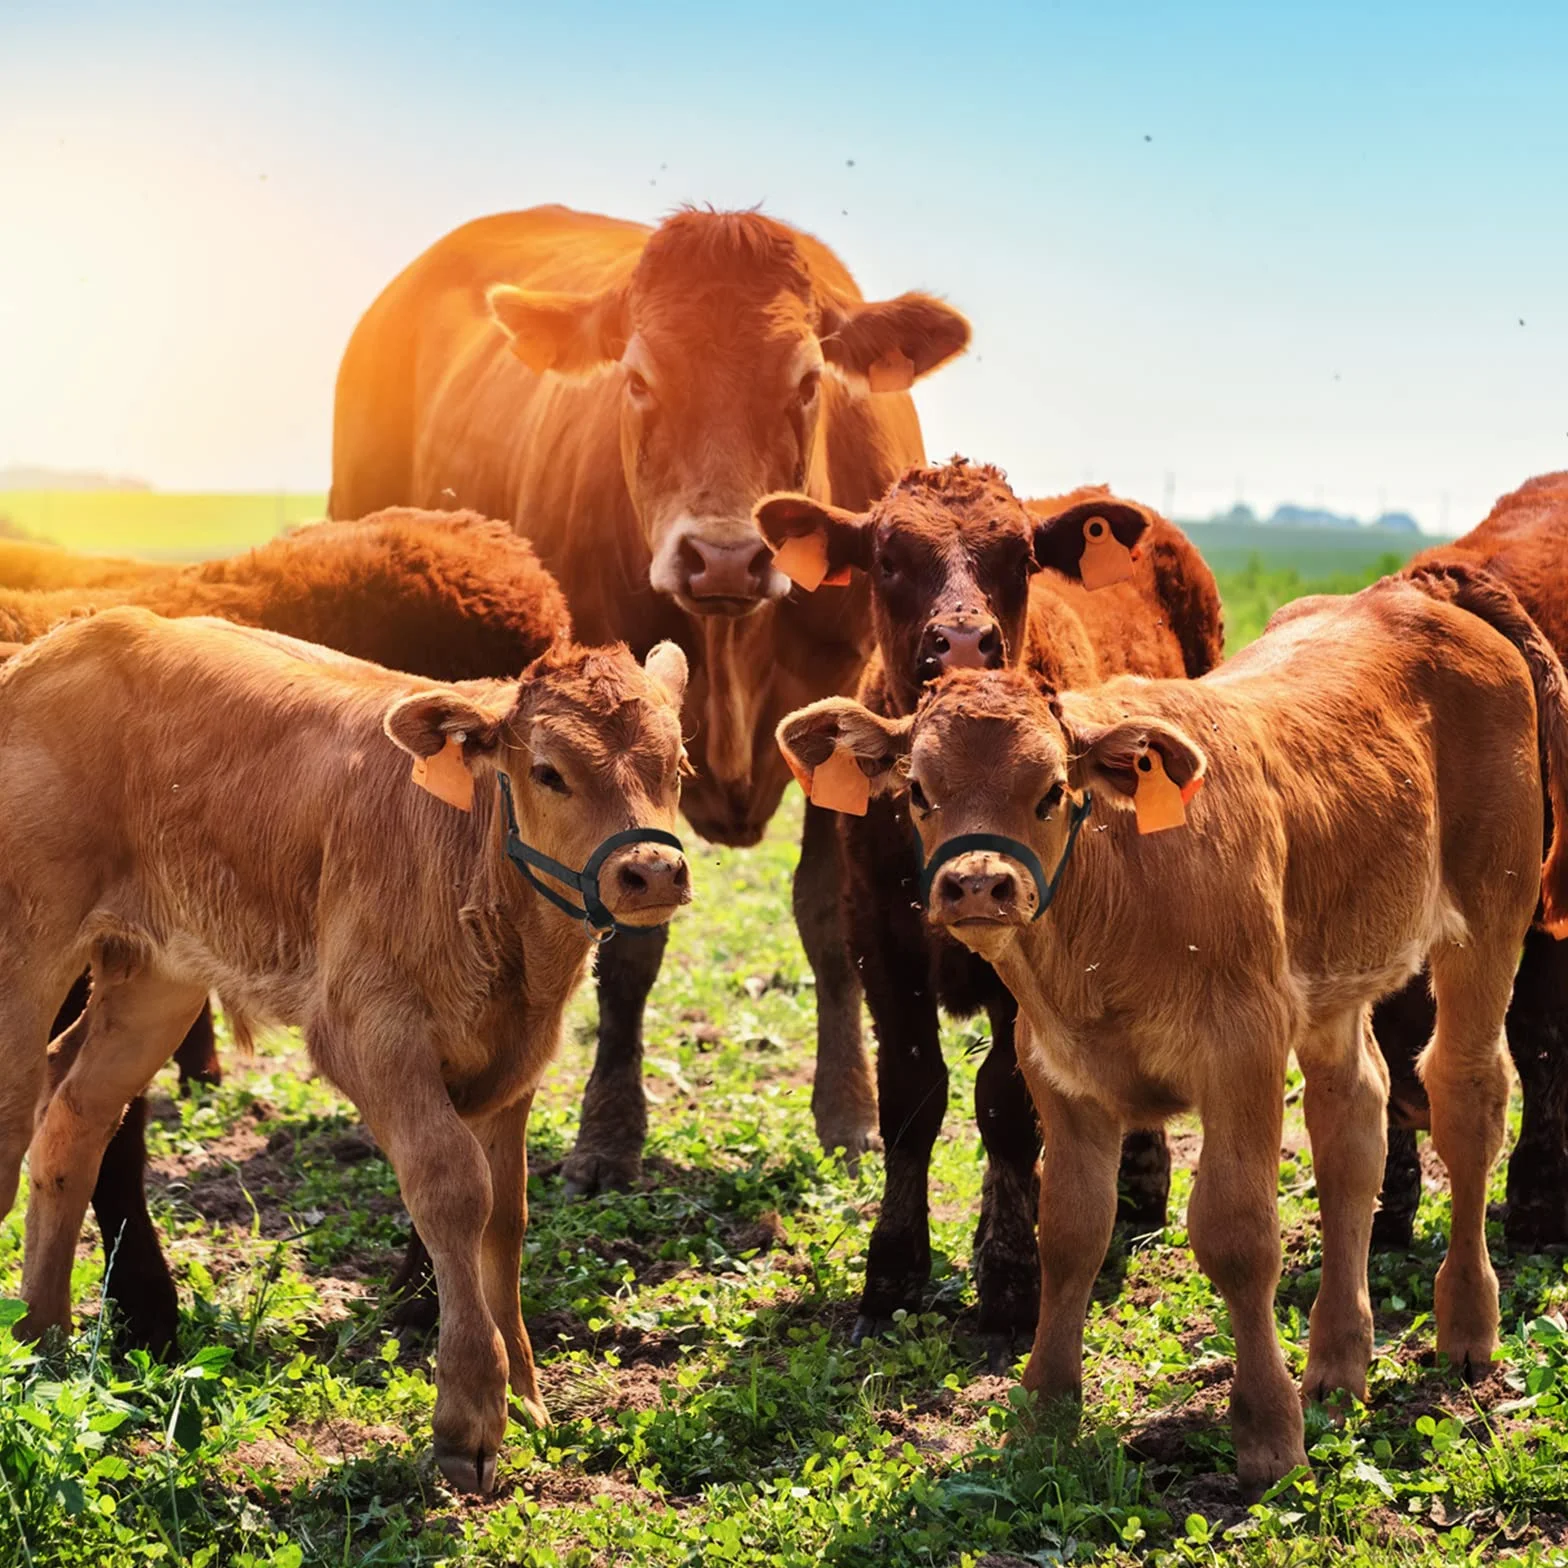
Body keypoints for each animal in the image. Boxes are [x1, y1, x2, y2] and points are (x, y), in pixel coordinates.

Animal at [0, 607, 693, 1494]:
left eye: (676, 765)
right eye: (549, 772)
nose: (654, 870)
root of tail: (68, 638)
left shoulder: (514, 1062)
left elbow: (506, 1214)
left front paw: (529, 1399)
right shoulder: (369, 1030)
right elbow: (453, 1188)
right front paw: (471, 1416)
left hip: (160, 975)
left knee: (76, 1118)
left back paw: (45, 1341)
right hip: (27, 946)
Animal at [330, 204, 972, 1191]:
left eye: (806, 382)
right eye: (637, 379)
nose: (724, 556)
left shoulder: (839, 716)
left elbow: (827, 917)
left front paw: (849, 1112)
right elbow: (628, 942)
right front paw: (607, 1133)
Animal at [753, 463, 1223, 1359]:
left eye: (1020, 558)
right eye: (888, 558)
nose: (964, 644)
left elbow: (1006, 1102)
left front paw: (1009, 1278)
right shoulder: (879, 941)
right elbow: (912, 1097)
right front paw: (892, 1272)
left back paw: (1139, 1183)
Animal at [778, 565, 1568, 1490]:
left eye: (1052, 791)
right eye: (918, 792)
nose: (977, 884)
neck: (1111, 906)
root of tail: (1409, 592)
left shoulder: (1244, 1050)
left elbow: (1238, 1235)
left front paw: (1267, 1434)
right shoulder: (1060, 1072)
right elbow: (1070, 1233)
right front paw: (1043, 1411)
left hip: (1490, 918)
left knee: (1467, 1097)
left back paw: (1467, 1328)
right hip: (1334, 982)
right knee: (1353, 1131)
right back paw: (1338, 1364)